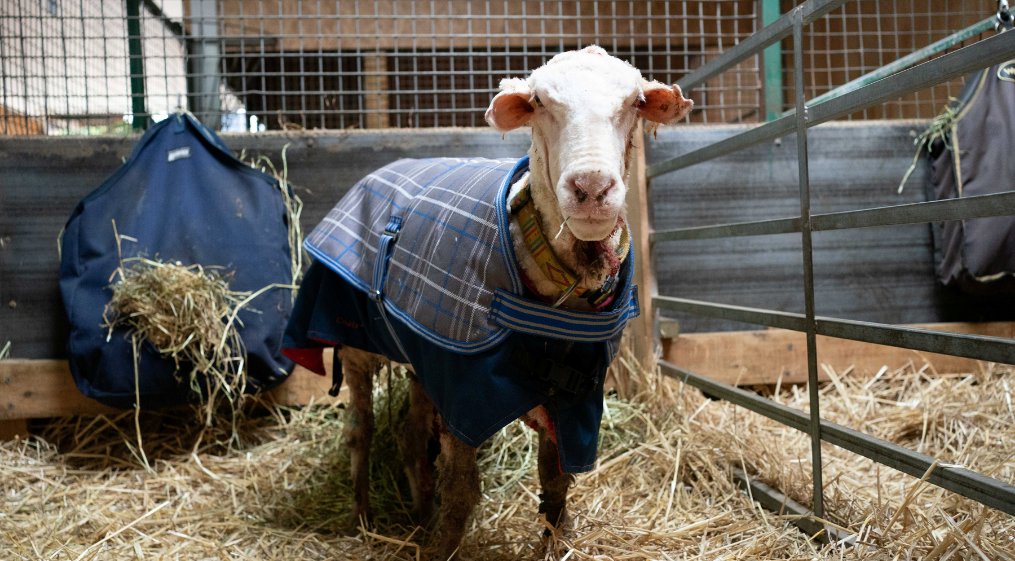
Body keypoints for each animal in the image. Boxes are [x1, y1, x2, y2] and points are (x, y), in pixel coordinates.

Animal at [283, 45, 692, 559]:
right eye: (538, 102)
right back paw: (363, 518)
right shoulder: (464, 390)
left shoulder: (574, 396)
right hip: (356, 342)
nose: (592, 189)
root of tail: (384, 167)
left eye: (636, 102)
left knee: (411, 438)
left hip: (423, 361)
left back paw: (420, 516)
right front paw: (444, 548)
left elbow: (555, 484)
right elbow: (461, 490)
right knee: (361, 427)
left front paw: (553, 544)